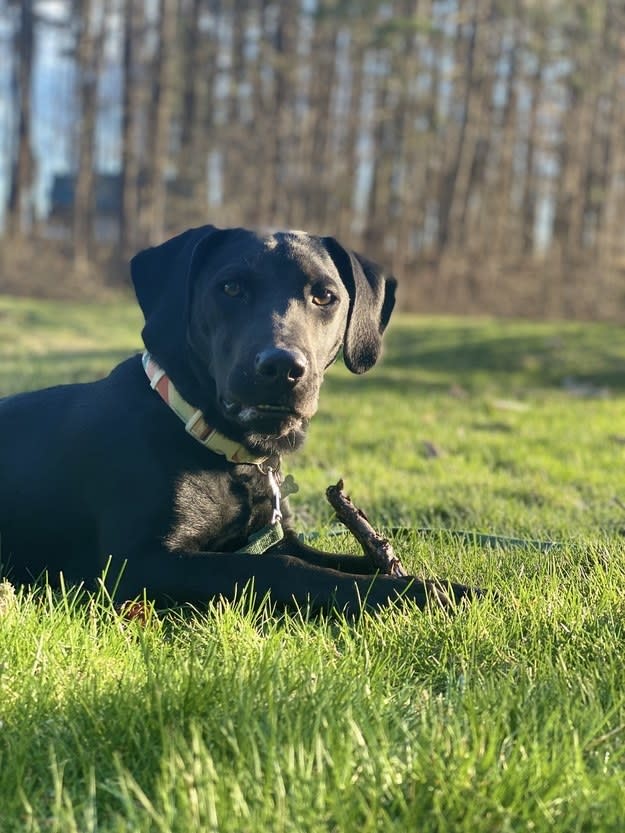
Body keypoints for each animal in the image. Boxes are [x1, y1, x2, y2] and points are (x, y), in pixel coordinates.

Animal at [0, 224, 472, 616]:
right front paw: (409, 594)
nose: (282, 367)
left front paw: (451, 587)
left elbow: (335, 559)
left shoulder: (267, 539)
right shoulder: (138, 563)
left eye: (325, 296)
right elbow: (285, 568)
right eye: (230, 288)